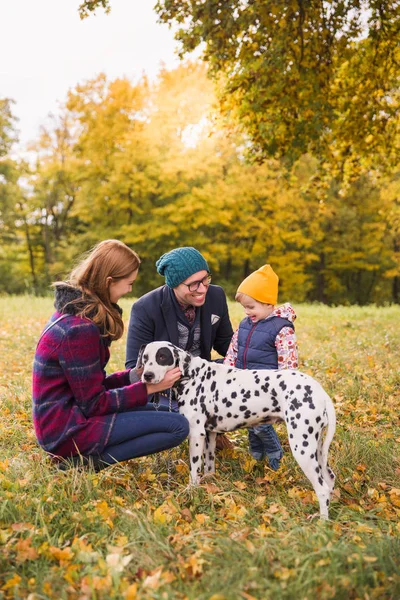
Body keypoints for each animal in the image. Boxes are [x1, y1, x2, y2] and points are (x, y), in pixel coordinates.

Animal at [139, 340, 336, 516]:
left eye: (162, 357)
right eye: (145, 357)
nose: (147, 375)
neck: (192, 374)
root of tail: (320, 392)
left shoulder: (196, 435)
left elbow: (194, 469)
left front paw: (191, 490)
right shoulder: (209, 434)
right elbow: (209, 464)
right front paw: (209, 482)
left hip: (302, 448)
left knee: (322, 489)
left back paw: (322, 521)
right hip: (317, 449)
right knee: (329, 479)